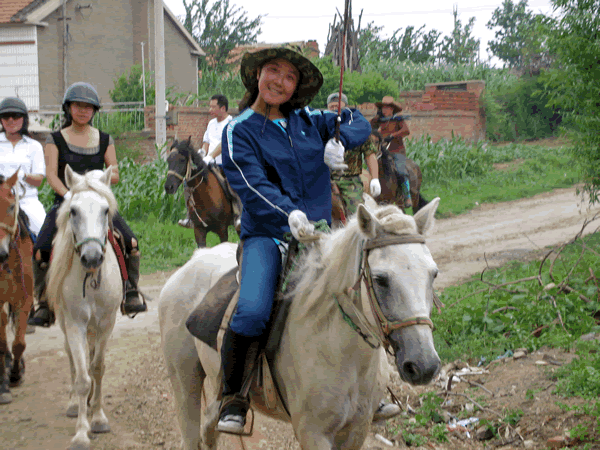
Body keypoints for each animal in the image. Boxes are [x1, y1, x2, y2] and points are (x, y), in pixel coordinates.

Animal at [46, 166, 123, 450]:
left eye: (105, 210)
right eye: (73, 211)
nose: (91, 257)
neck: (90, 278)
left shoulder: (106, 324)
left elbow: (97, 369)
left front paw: (98, 418)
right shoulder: (75, 324)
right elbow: (81, 377)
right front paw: (81, 432)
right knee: (72, 359)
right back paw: (74, 405)